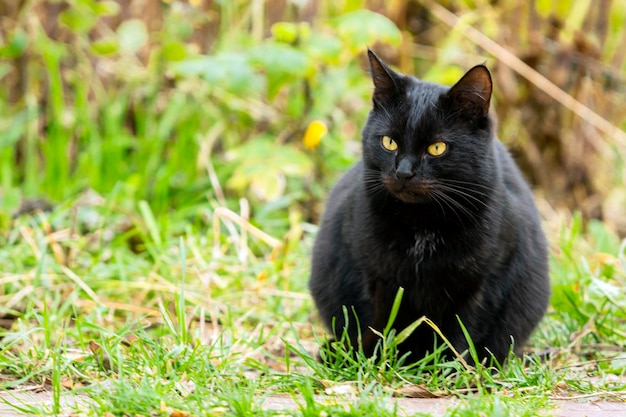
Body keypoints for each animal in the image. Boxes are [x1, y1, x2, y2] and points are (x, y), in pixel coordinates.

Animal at [310, 50, 548, 366]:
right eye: (389, 142)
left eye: (437, 148)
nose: (404, 172)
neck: (422, 224)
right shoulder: (371, 274)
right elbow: (376, 321)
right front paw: (371, 360)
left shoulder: (482, 283)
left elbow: (463, 329)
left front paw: (453, 366)